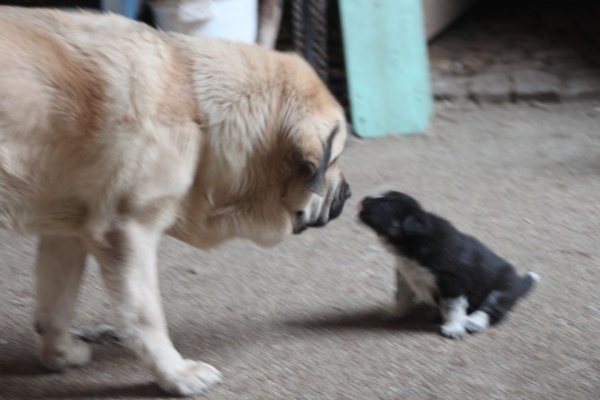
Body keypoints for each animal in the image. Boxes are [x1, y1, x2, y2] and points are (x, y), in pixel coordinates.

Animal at [0, 7, 352, 396]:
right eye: (335, 160)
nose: (349, 194)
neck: (196, 107)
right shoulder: (126, 231)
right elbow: (146, 314)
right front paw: (175, 373)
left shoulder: (66, 233)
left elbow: (56, 303)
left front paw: (59, 354)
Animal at [356, 191, 540, 338]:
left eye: (387, 204)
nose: (364, 198)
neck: (414, 245)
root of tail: (519, 282)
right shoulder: (406, 277)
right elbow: (401, 298)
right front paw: (394, 314)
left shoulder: (452, 284)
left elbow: (453, 308)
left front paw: (453, 328)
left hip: (502, 289)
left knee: (492, 310)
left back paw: (474, 321)